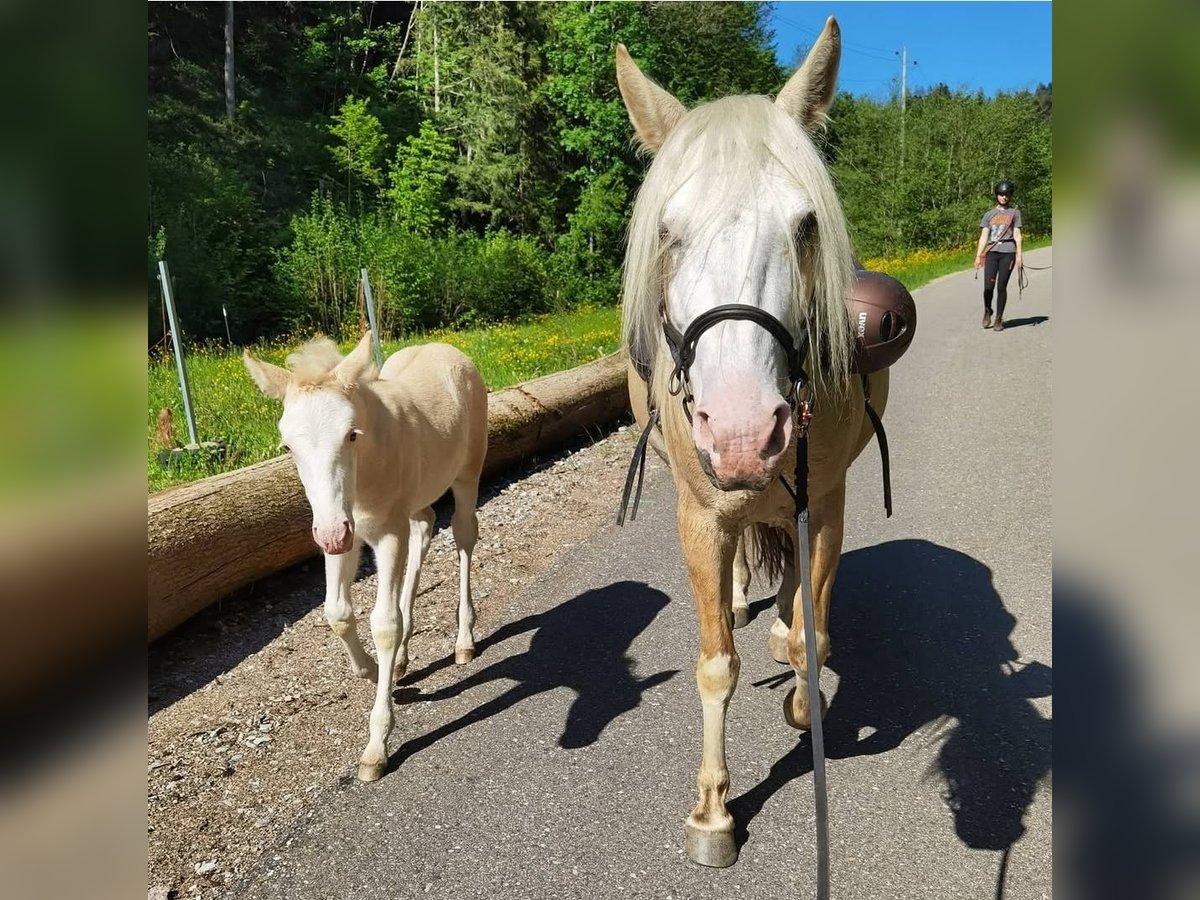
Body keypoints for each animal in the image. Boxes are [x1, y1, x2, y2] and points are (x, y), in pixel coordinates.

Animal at [244, 332, 488, 782]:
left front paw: (377, 745)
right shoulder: (344, 531)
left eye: (351, 435)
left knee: (464, 536)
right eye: (288, 446)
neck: (366, 473)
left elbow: (384, 623)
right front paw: (376, 672)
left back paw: (464, 639)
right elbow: (337, 612)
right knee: (424, 527)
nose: (331, 534)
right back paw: (404, 658)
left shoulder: (383, 533)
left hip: (467, 474)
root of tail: (447, 348)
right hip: (413, 502)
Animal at [616, 17, 890, 866]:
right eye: (668, 233)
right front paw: (713, 808)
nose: (742, 431)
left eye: (805, 226)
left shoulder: (824, 503)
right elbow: (714, 666)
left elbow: (813, 633)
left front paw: (805, 704)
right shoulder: (701, 517)